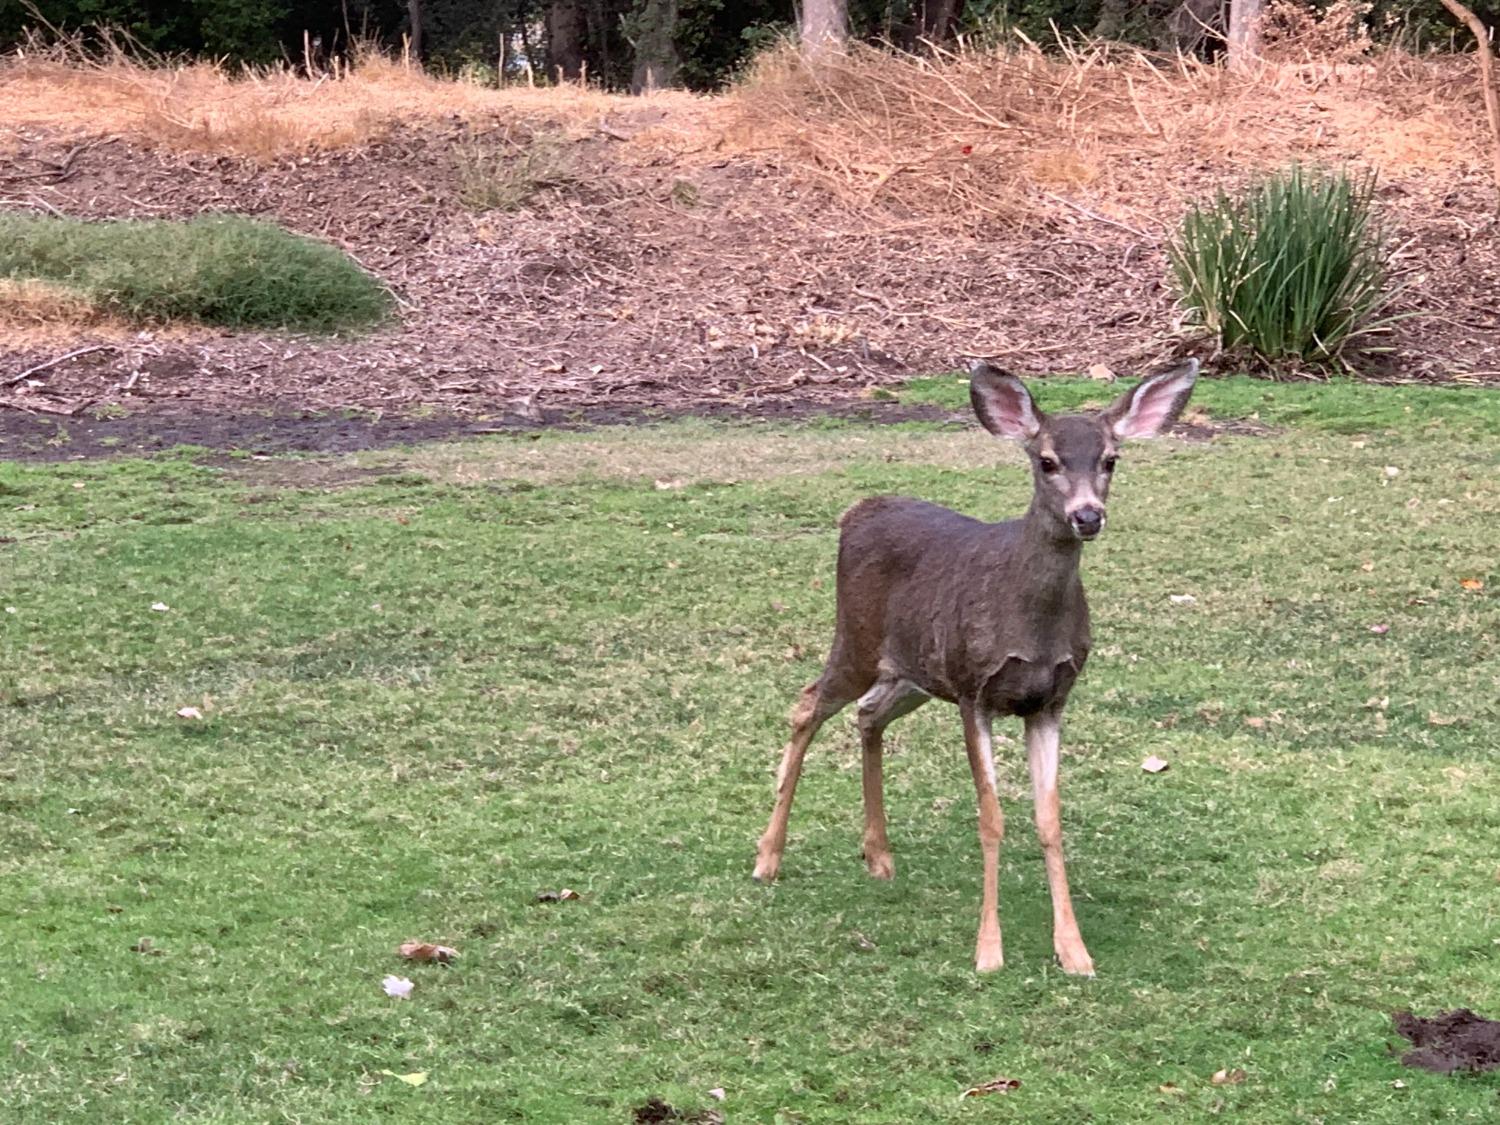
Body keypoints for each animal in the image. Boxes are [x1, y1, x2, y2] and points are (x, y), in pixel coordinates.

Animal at [756, 361, 1200, 978]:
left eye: (1111, 459)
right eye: (1046, 460)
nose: (1088, 516)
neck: (1030, 623)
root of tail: (855, 511)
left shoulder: (1051, 700)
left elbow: (1049, 820)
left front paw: (1074, 951)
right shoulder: (974, 689)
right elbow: (991, 818)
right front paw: (988, 950)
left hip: (915, 670)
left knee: (869, 714)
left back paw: (879, 855)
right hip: (857, 640)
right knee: (806, 705)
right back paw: (768, 857)